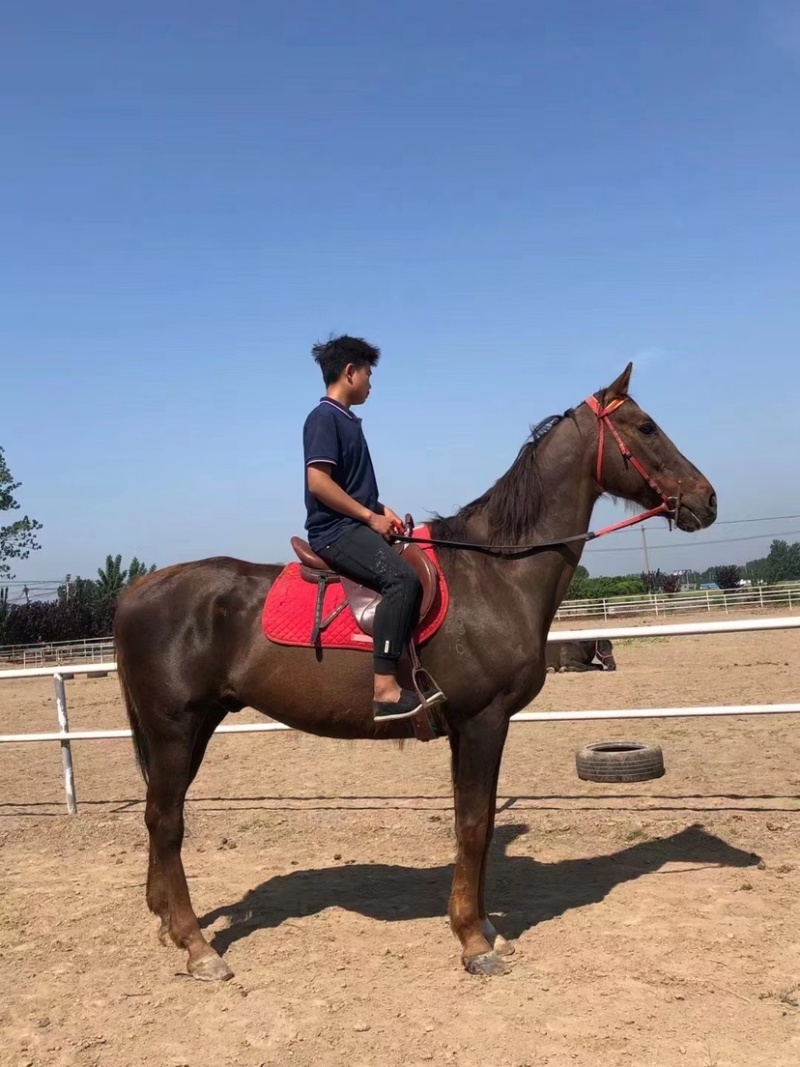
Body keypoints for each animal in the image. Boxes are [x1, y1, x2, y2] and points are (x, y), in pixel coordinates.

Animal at [114, 362, 716, 981]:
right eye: (646, 427)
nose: (707, 498)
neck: (493, 572)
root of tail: (137, 590)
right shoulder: (483, 720)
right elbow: (472, 824)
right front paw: (472, 941)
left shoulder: (471, 728)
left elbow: (477, 822)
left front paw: (487, 929)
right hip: (175, 728)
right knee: (165, 820)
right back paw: (197, 946)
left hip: (194, 728)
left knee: (161, 815)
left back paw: (169, 923)